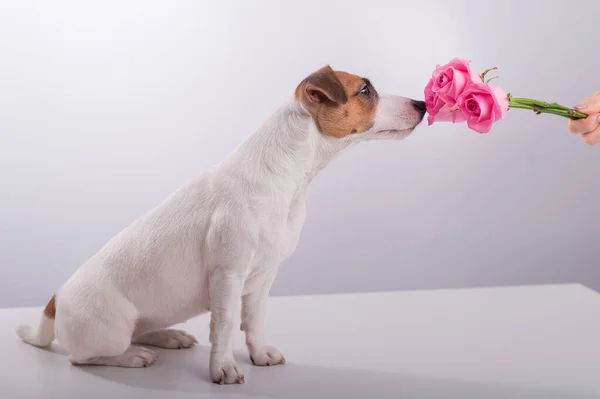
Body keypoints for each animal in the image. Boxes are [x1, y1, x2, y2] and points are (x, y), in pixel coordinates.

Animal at [15, 65, 426, 384]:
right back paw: (132, 357)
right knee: (83, 357)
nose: (422, 103)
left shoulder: (262, 278)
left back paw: (167, 337)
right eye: (365, 90)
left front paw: (259, 354)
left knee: (141, 332)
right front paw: (224, 369)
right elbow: (225, 326)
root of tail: (54, 301)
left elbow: (254, 321)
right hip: (110, 331)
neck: (288, 177)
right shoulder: (228, 274)